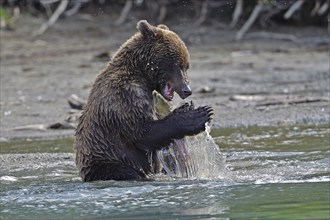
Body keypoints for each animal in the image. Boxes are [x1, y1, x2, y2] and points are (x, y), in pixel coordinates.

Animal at [75, 19, 213, 181]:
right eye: (178, 64)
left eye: (187, 66)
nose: (187, 90)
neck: (141, 74)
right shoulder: (126, 95)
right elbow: (143, 132)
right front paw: (200, 114)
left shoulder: (153, 98)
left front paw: (186, 107)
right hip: (108, 162)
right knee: (125, 170)